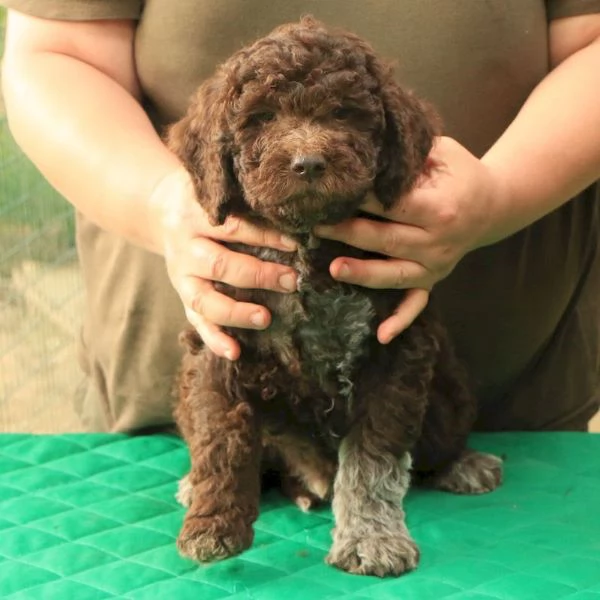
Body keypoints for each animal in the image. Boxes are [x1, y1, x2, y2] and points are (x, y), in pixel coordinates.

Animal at [168, 17, 502, 576]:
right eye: (262, 117)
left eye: (344, 113)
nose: (308, 163)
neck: (307, 241)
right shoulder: (218, 341)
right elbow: (220, 438)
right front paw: (213, 523)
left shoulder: (394, 349)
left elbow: (373, 458)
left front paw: (371, 539)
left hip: (448, 389)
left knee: (439, 441)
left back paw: (463, 464)